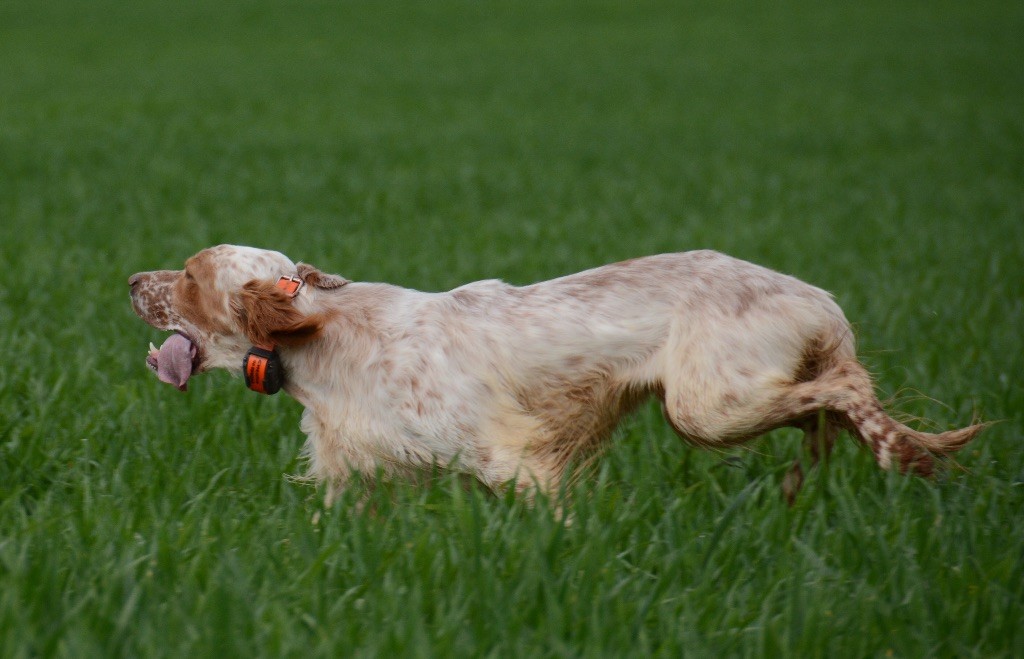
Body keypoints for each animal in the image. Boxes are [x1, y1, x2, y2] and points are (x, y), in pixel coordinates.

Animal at [130, 244, 983, 501]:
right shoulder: (351, 470)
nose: (132, 281)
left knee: (847, 389)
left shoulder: (514, 457)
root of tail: (817, 296)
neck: (326, 333)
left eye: (190, 274)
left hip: (706, 405)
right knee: (827, 405)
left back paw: (887, 451)